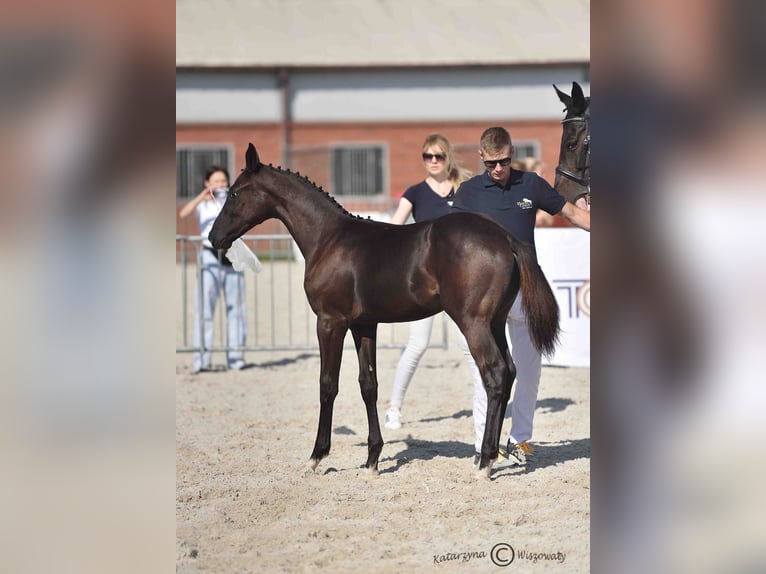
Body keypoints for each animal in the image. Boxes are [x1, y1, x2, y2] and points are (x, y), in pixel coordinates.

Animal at [209, 144, 560, 478]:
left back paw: (485, 462)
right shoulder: (364, 325)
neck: (329, 239)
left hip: (473, 323)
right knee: (510, 371)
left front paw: (317, 456)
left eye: (235, 192)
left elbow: (327, 384)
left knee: (496, 374)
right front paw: (372, 460)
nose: (214, 237)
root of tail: (504, 237)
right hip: (495, 322)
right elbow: (368, 385)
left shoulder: (330, 322)